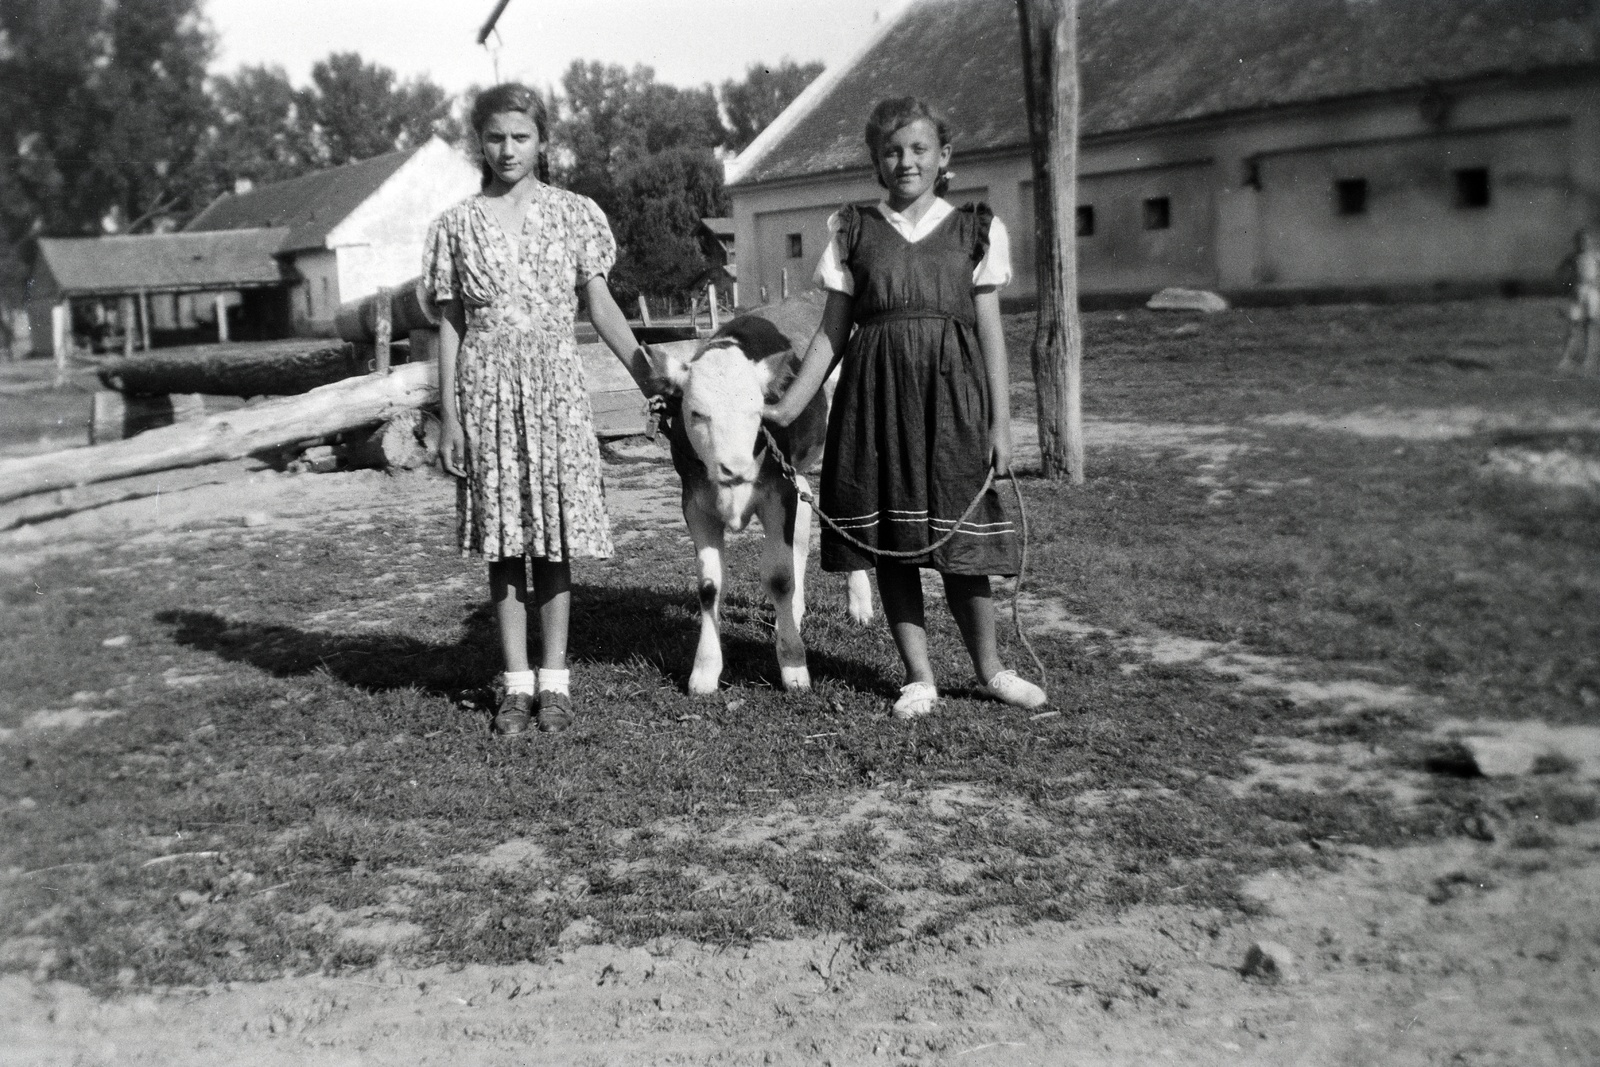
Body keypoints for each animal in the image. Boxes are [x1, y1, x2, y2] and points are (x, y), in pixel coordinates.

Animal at [652, 295, 876, 697]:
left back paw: (859, 605)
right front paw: (705, 670)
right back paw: (798, 611)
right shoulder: (694, 502)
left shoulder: (777, 494)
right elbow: (709, 586)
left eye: (757, 411)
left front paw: (793, 665)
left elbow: (780, 578)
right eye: (696, 413)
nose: (735, 468)